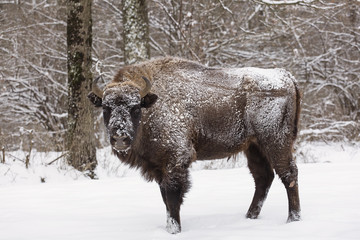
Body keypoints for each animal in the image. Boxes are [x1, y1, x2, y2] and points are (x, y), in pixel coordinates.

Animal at [87, 57, 300, 233]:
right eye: (106, 108)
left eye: (135, 108)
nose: (120, 138)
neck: (153, 105)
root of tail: (285, 75)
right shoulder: (159, 167)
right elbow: (165, 198)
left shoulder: (176, 159)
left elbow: (172, 197)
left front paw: (174, 230)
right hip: (253, 147)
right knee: (263, 177)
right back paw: (250, 217)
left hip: (275, 141)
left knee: (288, 174)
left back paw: (293, 219)